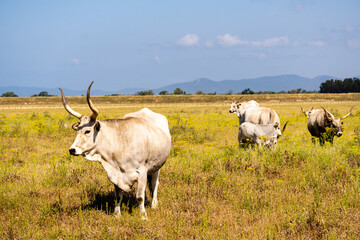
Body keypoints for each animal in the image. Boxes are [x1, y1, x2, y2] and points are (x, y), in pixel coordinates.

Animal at [59, 81, 172, 218]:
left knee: (155, 184)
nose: (72, 150)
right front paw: (117, 214)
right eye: (77, 130)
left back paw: (154, 205)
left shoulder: (142, 171)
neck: (121, 144)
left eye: (87, 131)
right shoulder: (115, 173)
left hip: (156, 167)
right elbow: (119, 196)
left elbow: (139, 197)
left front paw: (143, 216)